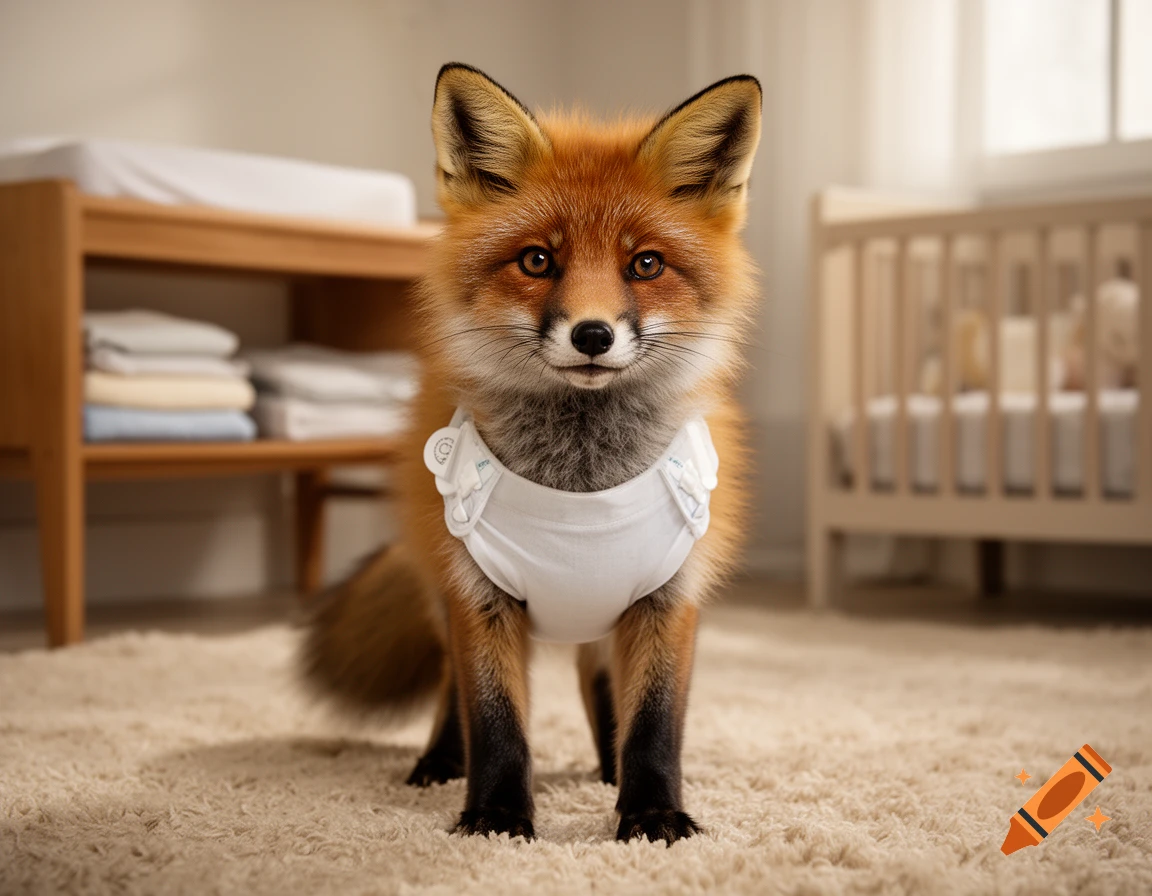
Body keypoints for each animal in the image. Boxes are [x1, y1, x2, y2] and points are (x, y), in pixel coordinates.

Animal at [301, 63, 761, 845]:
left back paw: (607, 771)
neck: (581, 481)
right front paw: (495, 816)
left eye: (645, 264)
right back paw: (438, 761)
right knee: (452, 691)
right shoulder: (477, 596)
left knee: (599, 686)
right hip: (446, 594)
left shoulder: (669, 597)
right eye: (538, 260)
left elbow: (654, 723)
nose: (593, 335)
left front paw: (651, 812)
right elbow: (495, 721)